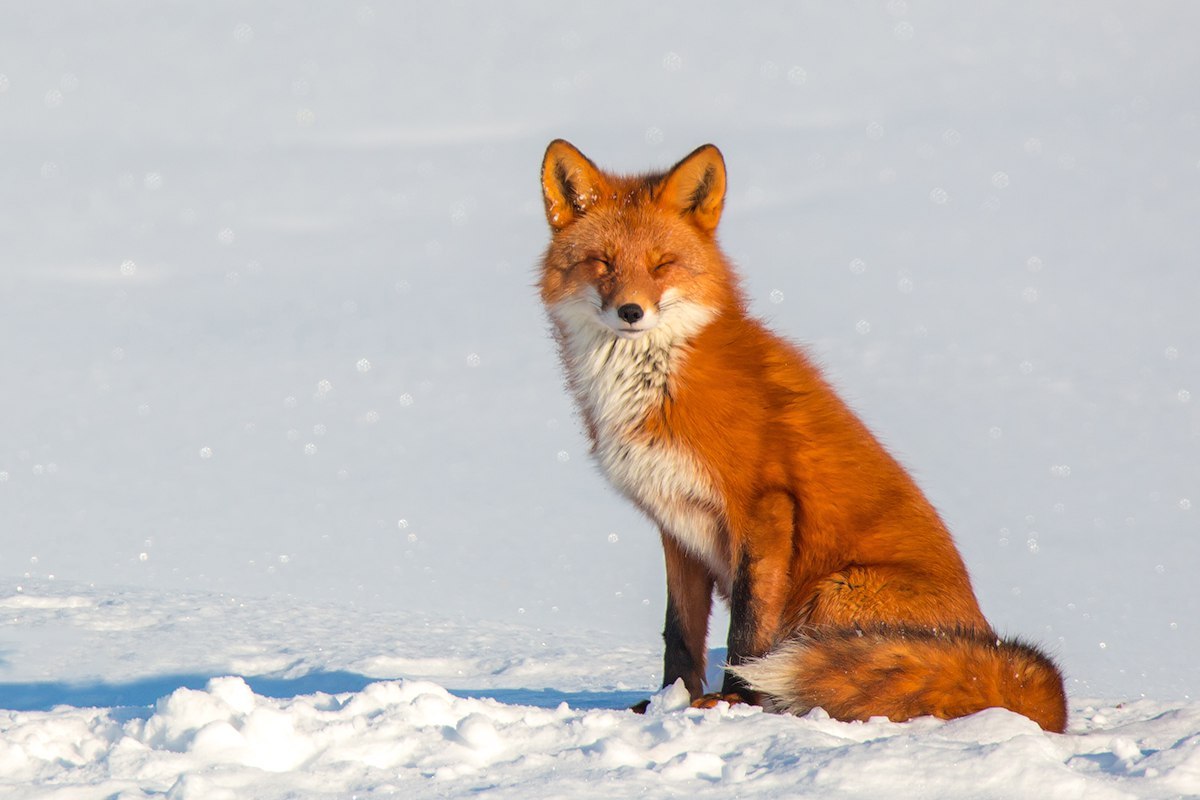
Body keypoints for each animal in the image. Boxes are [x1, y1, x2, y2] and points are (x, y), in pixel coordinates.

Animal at [540, 139, 1065, 734]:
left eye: (662, 264)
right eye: (602, 263)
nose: (631, 311)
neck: (659, 382)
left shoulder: (765, 507)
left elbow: (747, 631)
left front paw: (731, 703)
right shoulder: (675, 523)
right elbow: (680, 633)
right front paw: (666, 701)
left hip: (831, 592)